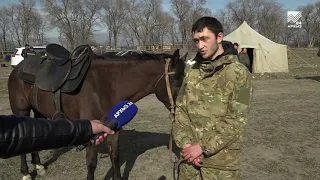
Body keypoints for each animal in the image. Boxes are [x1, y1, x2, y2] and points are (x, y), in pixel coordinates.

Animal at [6, 46, 188, 180]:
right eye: (177, 81)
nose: (184, 112)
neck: (107, 86)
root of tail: (19, 67)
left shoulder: (114, 129)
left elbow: (115, 158)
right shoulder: (92, 132)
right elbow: (92, 164)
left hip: (39, 111)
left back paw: (38, 166)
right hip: (21, 110)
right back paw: (26, 173)